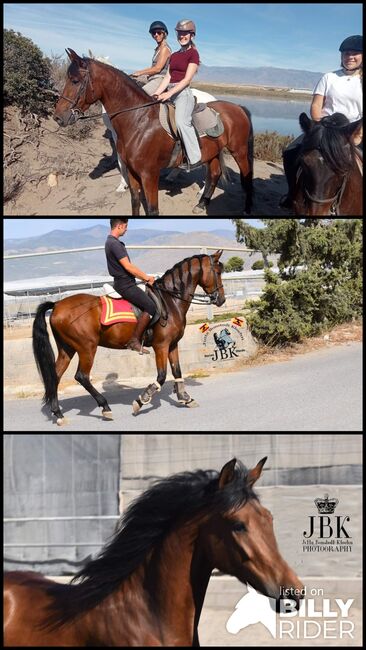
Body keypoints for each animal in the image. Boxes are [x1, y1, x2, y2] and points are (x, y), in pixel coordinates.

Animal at [32, 248, 226, 426]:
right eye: (217, 272)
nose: (221, 299)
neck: (170, 300)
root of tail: (57, 304)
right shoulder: (161, 346)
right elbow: (161, 376)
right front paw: (142, 400)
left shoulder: (172, 345)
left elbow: (177, 371)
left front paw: (185, 398)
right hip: (87, 348)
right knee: (82, 376)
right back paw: (105, 408)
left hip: (67, 349)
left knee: (55, 376)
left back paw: (58, 414)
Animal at [53, 49, 254, 215]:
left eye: (75, 81)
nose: (58, 117)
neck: (139, 120)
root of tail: (238, 107)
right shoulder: (134, 172)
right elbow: (134, 202)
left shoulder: (149, 175)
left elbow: (152, 209)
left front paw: (121, 185)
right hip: (213, 152)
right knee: (214, 174)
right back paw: (201, 203)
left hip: (239, 151)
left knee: (245, 178)